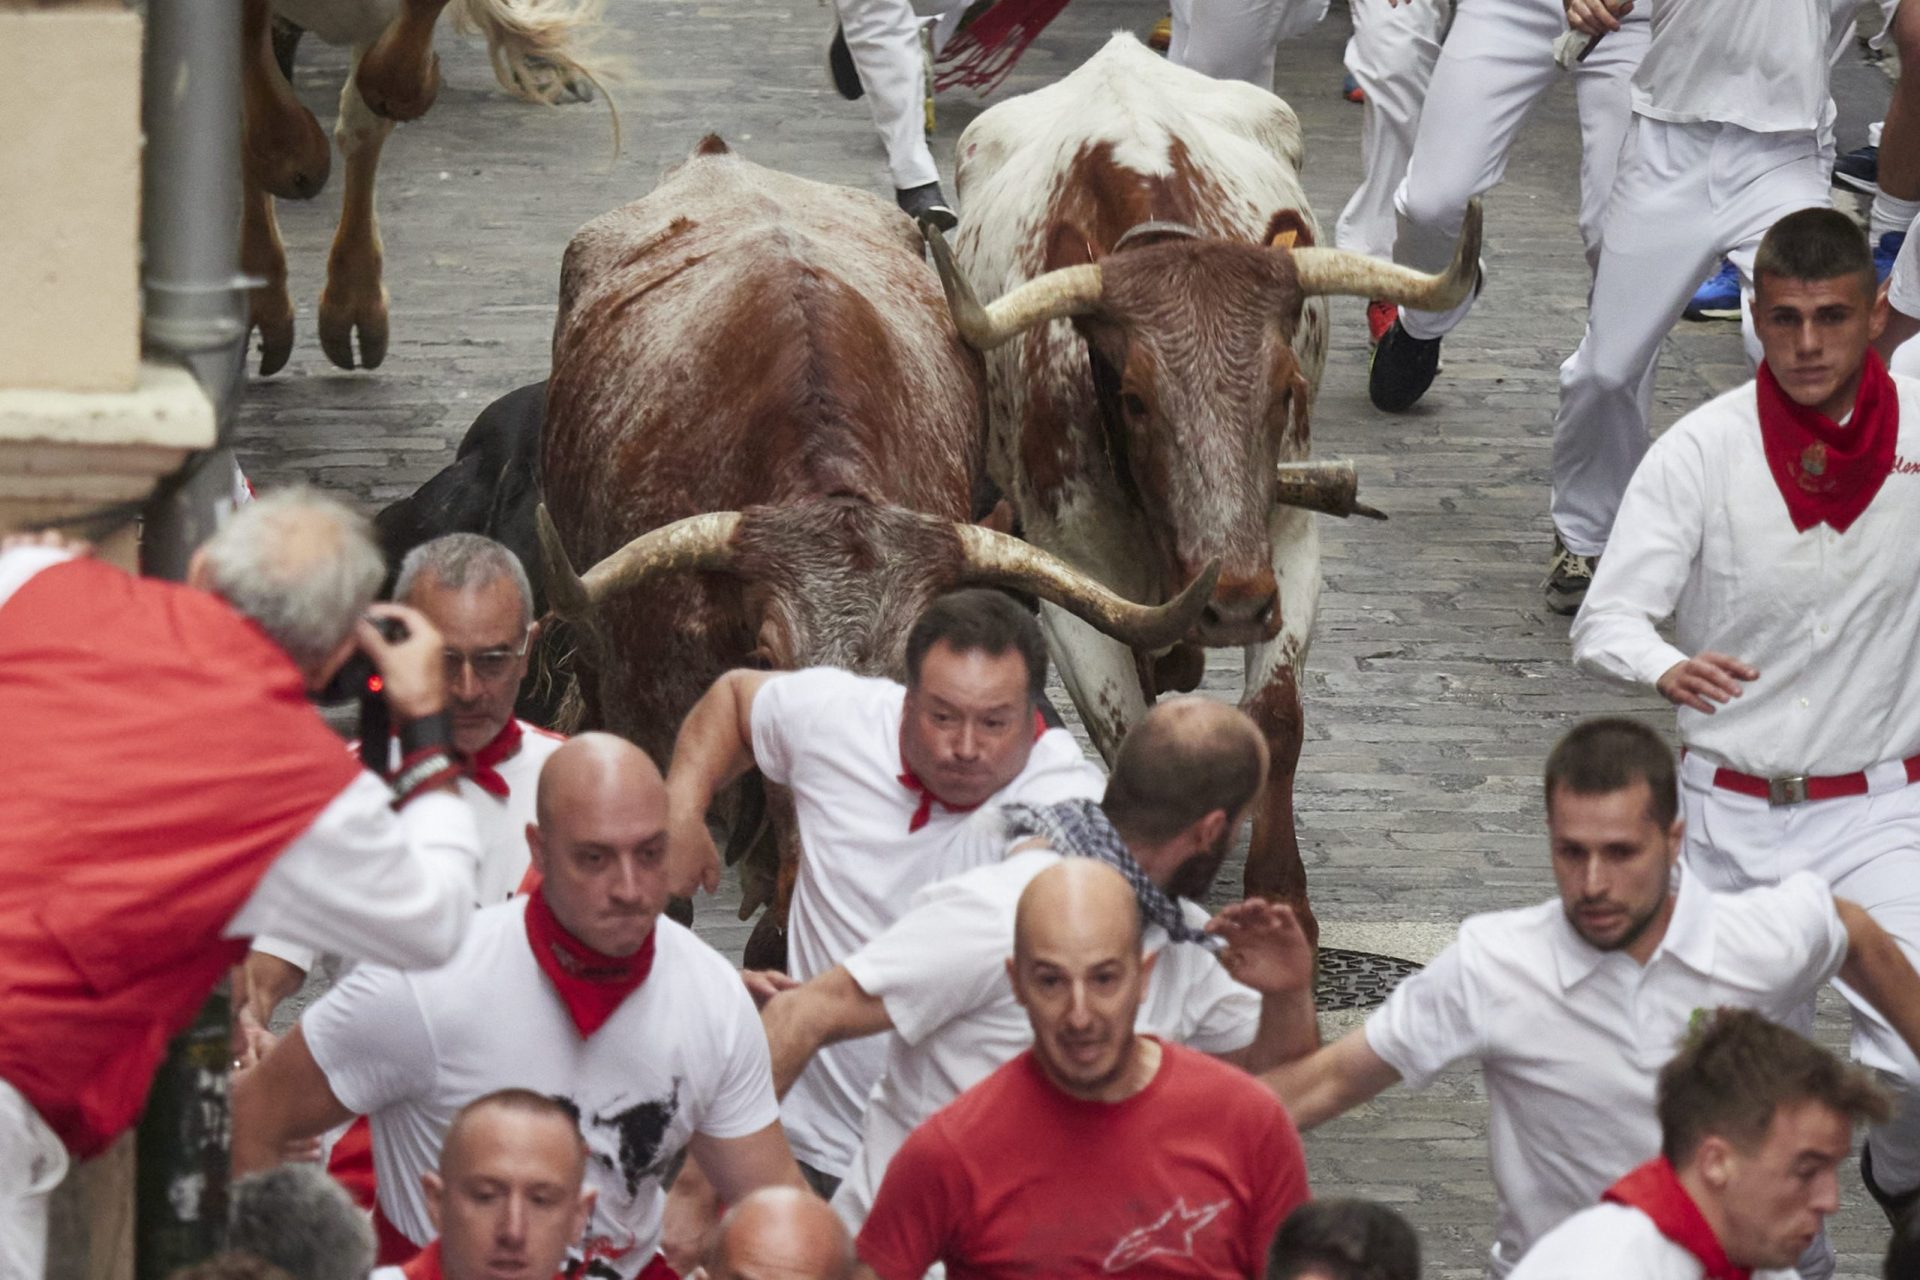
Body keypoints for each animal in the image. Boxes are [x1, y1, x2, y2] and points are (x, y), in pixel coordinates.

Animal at [936, 35, 1474, 948]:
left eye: (1287, 388)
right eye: (1133, 399)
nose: (1232, 606)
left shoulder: (1288, 544)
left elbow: (1278, 722)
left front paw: (1282, 896)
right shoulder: (1069, 577)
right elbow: (1129, 728)